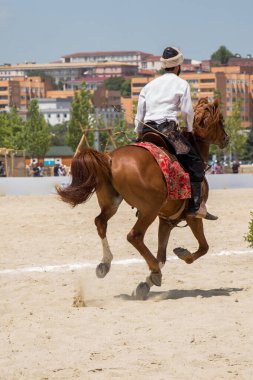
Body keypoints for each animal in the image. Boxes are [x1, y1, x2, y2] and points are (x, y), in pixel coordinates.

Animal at [57, 98, 229, 300]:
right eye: (221, 120)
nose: (226, 138)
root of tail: (110, 158)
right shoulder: (192, 218)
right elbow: (203, 247)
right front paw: (182, 254)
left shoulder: (167, 221)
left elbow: (163, 255)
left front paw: (145, 285)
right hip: (149, 210)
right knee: (134, 236)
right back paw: (153, 270)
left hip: (112, 203)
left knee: (100, 222)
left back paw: (105, 264)